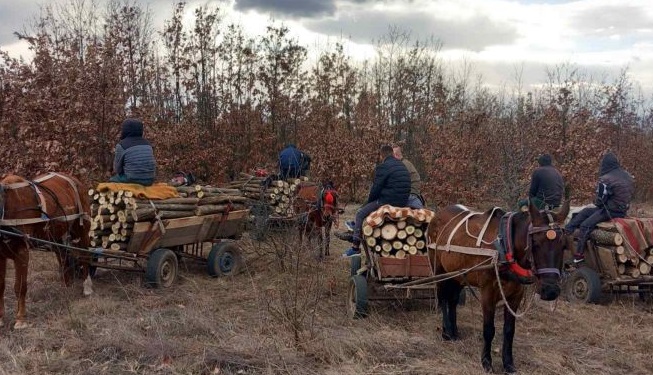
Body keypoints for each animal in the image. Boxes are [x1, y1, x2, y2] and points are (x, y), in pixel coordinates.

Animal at [0, 173, 92, 328]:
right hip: (57, 235)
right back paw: (66, 286)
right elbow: (0, 286)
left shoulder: (22, 252)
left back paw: (87, 287)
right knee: (63, 257)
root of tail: (75, 180)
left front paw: (21, 319)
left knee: (85, 256)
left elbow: (20, 286)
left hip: (81, 230)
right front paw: (1, 318)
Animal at [426, 201, 568, 374]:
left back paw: (453, 331)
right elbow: (489, 329)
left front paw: (508, 363)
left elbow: (509, 330)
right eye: (535, 243)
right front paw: (486, 362)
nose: (551, 291)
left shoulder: (516, 295)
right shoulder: (488, 292)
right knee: (443, 298)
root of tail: (437, 215)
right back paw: (446, 331)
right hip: (439, 271)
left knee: (452, 300)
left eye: (564, 245)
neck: (505, 247)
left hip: (459, 274)